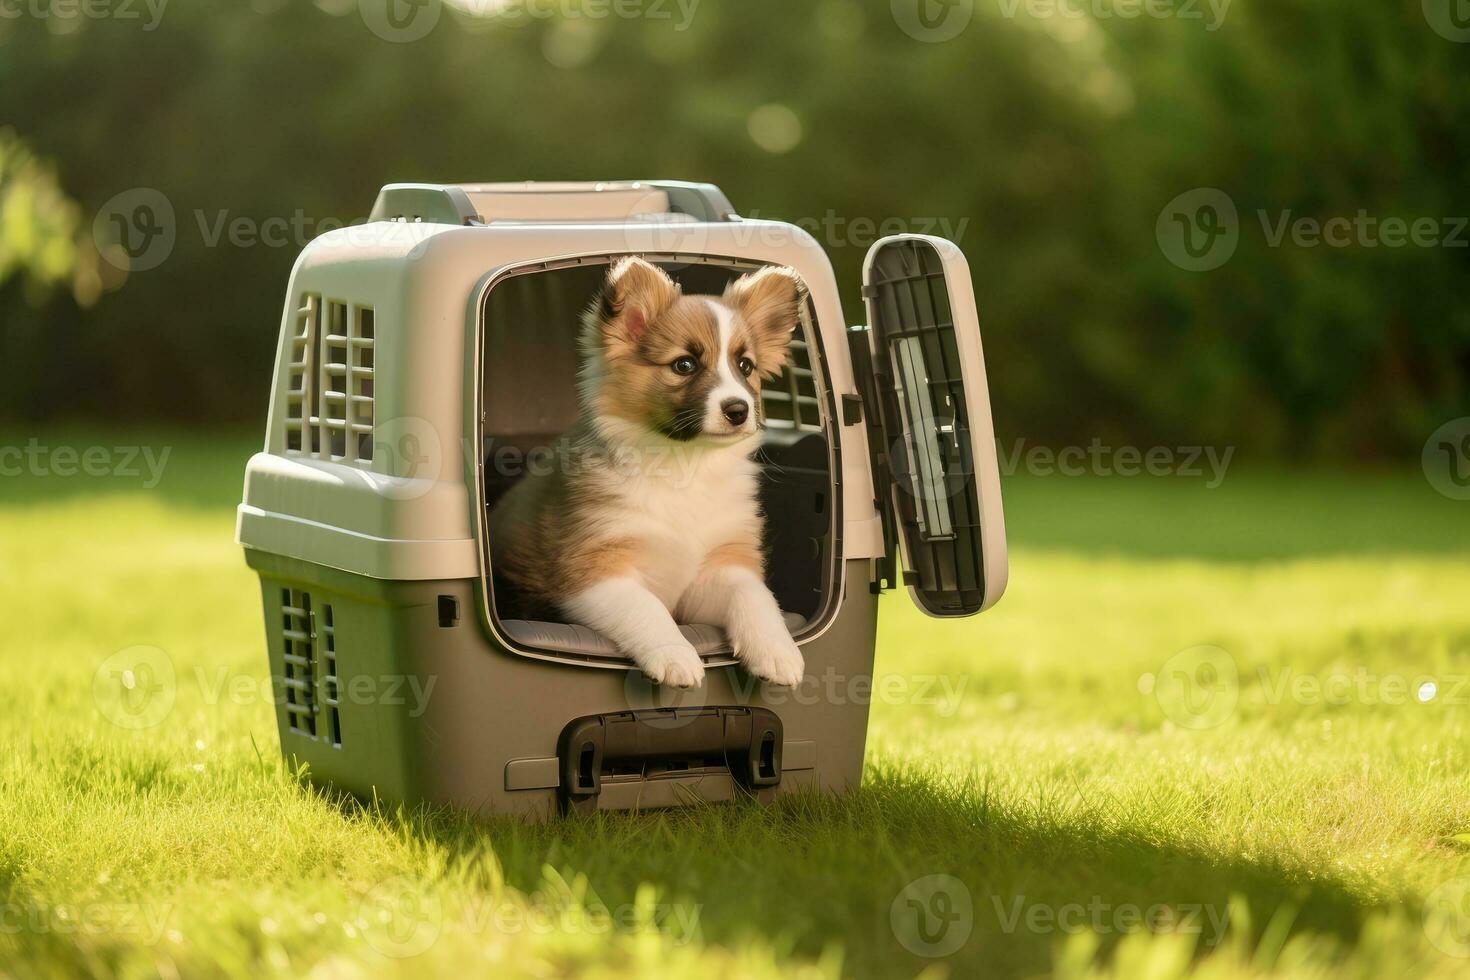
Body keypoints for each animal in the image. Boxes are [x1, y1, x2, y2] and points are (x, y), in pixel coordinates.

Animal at [488, 260, 805, 690]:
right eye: (684, 364)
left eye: (746, 366)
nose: (738, 410)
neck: (684, 466)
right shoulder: (593, 568)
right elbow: (645, 607)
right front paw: (675, 656)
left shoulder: (720, 566)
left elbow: (755, 596)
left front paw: (777, 650)